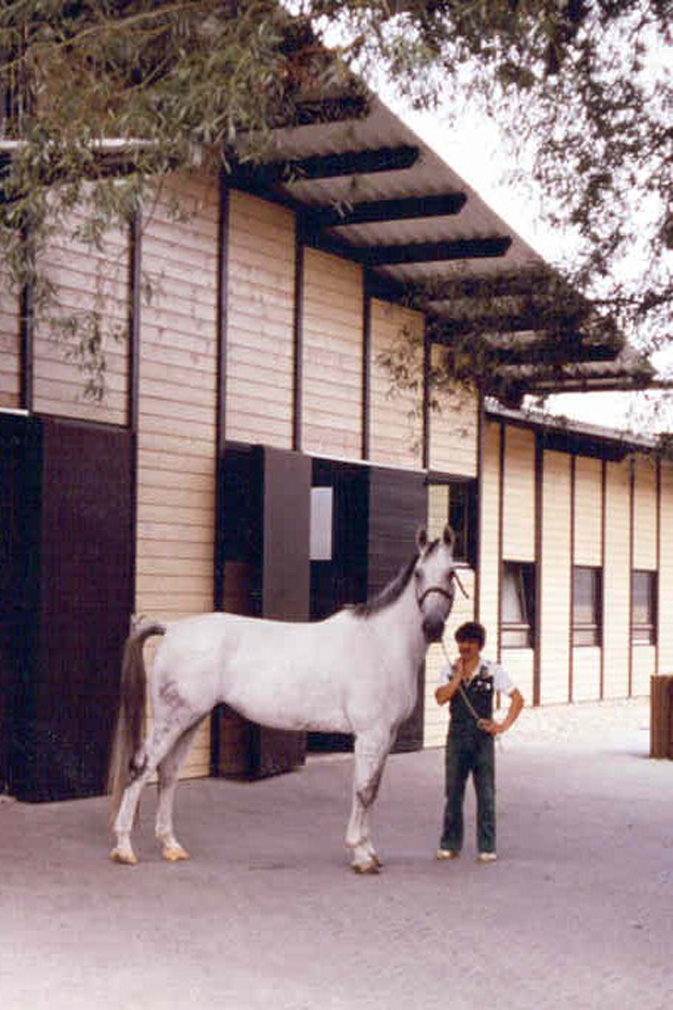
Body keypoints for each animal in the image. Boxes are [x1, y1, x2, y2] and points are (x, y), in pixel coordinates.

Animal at [107, 525, 458, 872]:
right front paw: (360, 855)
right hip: (171, 720)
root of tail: (173, 628)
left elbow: (373, 791)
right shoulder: (371, 734)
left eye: (451, 573)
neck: (380, 643)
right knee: (141, 770)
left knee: (167, 775)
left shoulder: (387, 735)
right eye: (419, 574)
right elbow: (363, 790)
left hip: (190, 720)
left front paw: (370, 852)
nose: (432, 626)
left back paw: (171, 846)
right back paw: (124, 848)